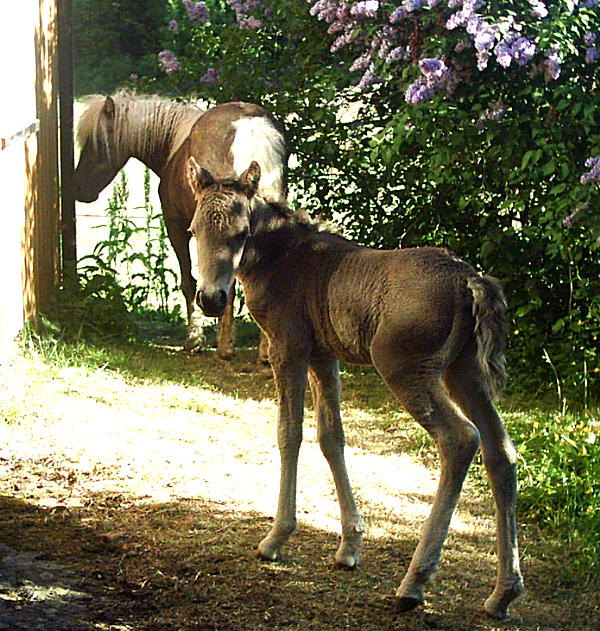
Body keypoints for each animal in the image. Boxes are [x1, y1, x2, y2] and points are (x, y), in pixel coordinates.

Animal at [72, 94, 288, 360]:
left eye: (95, 143)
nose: (78, 189)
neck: (173, 146)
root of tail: (250, 126)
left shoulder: (176, 227)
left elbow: (188, 282)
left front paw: (194, 339)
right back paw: (264, 350)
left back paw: (225, 346)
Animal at [185, 160, 524, 620]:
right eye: (193, 231)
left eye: (241, 233)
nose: (211, 299)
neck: (281, 257)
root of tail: (469, 279)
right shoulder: (324, 356)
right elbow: (332, 437)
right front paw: (349, 547)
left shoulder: (289, 349)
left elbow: (289, 434)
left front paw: (276, 538)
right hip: (465, 371)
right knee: (500, 451)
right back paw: (502, 593)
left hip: (406, 369)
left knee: (460, 440)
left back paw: (414, 582)